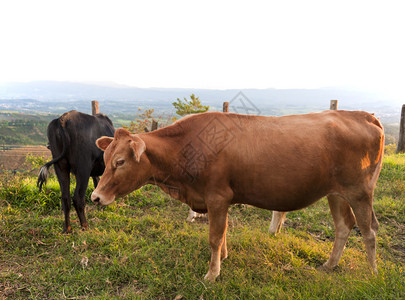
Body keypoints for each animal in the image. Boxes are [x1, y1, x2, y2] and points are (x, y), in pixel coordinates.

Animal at [90, 110, 382, 282]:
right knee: (344, 226)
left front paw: (212, 273)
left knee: (369, 232)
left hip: (360, 191)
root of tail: (362, 115)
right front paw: (224, 258)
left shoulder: (217, 197)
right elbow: (224, 233)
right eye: (104, 159)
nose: (95, 197)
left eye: (119, 162)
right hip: (336, 193)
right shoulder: (221, 199)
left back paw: (372, 273)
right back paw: (329, 266)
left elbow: (214, 237)